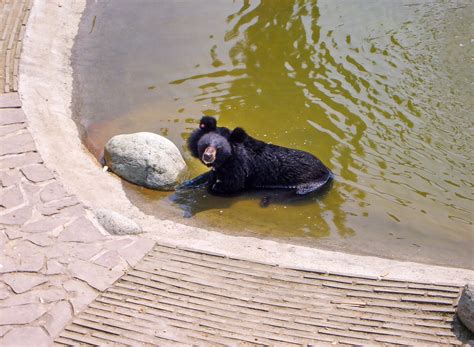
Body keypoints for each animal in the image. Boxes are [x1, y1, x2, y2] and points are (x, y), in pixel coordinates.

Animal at [186, 116, 334, 196]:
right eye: (205, 144)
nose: (207, 156)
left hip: (309, 184)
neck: (225, 162)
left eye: (219, 149)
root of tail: (328, 171)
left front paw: (213, 187)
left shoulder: (238, 170)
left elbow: (231, 185)